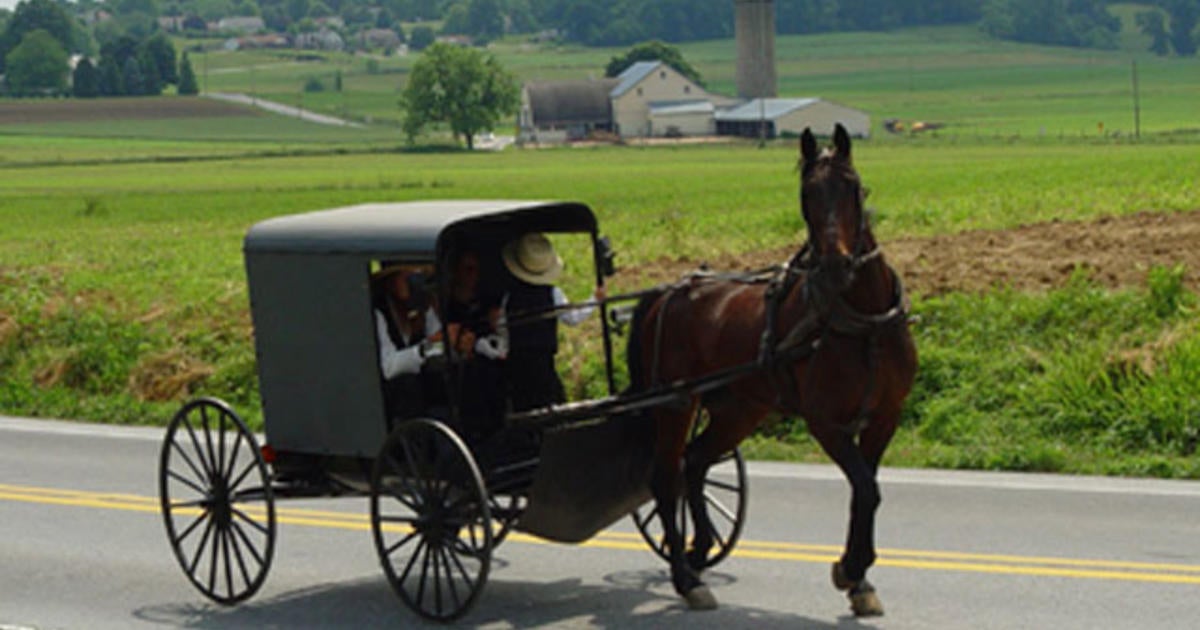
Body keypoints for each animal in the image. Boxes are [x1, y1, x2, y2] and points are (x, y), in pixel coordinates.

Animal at [628, 124, 916, 614]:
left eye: (853, 186)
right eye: (806, 193)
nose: (835, 265)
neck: (864, 324)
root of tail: (667, 291)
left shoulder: (884, 417)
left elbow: (867, 491)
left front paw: (859, 580)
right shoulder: (825, 422)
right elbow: (865, 487)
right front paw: (851, 569)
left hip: (738, 408)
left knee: (695, 462)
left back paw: (699, 549)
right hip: (676, 402)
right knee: (666, 479)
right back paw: (687, 578)